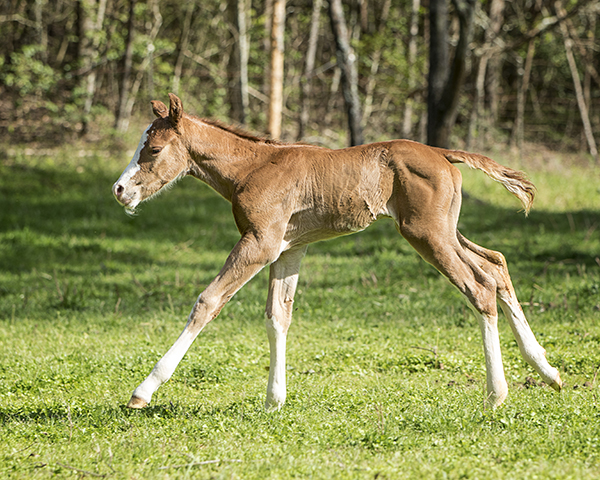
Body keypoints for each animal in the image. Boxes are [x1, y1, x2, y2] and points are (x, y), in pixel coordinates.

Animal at [113, 95, 564, 410]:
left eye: (153, 150)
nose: (119, 190)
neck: (252, 168)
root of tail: (442, 153)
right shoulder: (287, 249)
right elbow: (278, 316)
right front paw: (274, 400)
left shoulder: (259, 243)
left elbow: (207, 301)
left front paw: (144, 390)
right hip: (444, 230)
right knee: (496, 264)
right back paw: (548, 370)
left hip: (426, 233)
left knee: (479, 286)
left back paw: (496, 394)